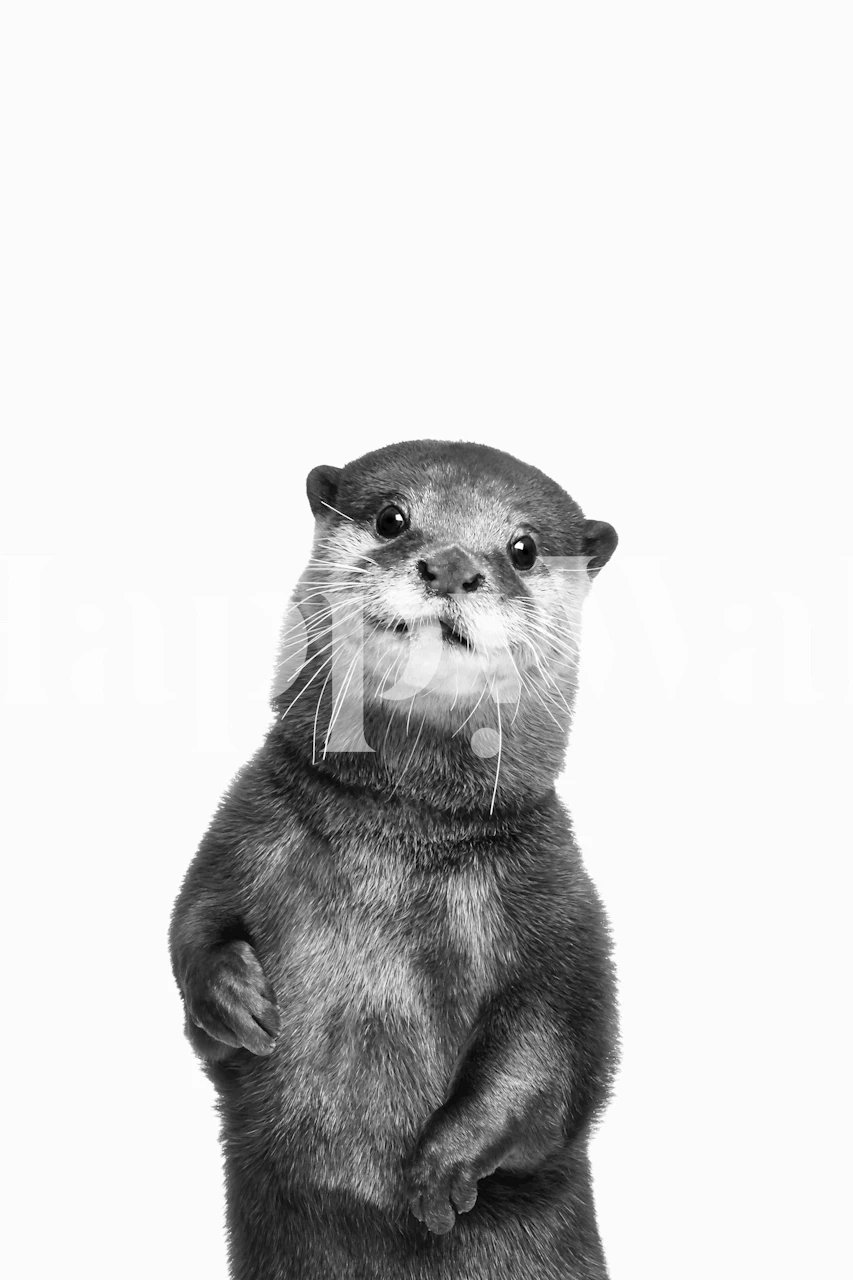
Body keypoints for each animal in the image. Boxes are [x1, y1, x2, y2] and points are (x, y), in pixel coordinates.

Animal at [169, 440, 619, 1280]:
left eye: (522, 548)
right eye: (391, 518)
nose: (450, 566)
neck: (397, 841)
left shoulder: (559, 908)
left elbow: (554, 1054)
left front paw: (441, 1168)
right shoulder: (241, 832)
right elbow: (191, 928)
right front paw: (232, 996)